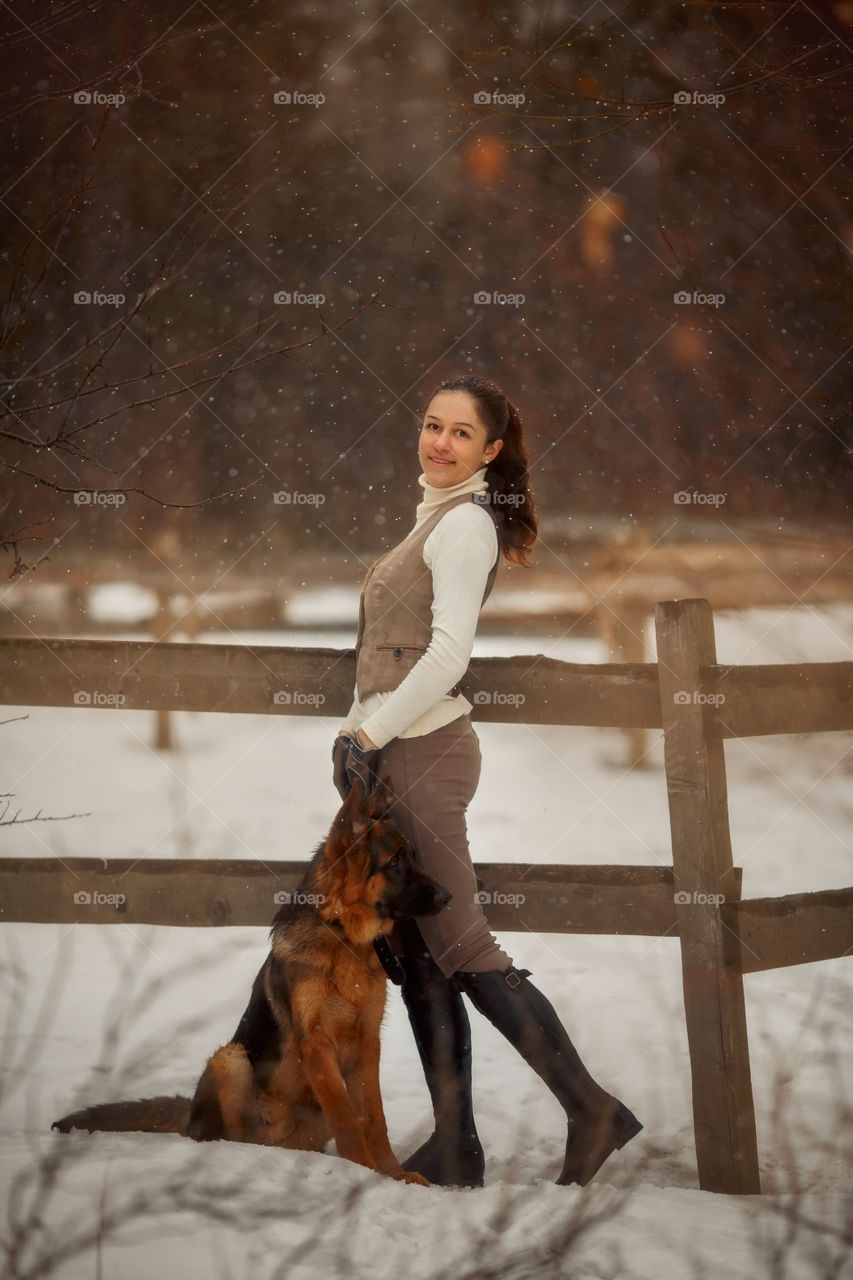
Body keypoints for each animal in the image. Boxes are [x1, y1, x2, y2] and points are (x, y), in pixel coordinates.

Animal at [51, 773, 450, 1182]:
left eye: (412, 856)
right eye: (396, 861)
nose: (447, 896)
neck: (341, 934)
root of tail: (191, 1113)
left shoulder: (367, 1044)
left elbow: (373, 1119)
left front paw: (392, 1175)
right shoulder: (317, 1046)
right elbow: (348, 1120)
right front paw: (365, 1172)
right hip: (231, 1059)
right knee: (228, 1134)